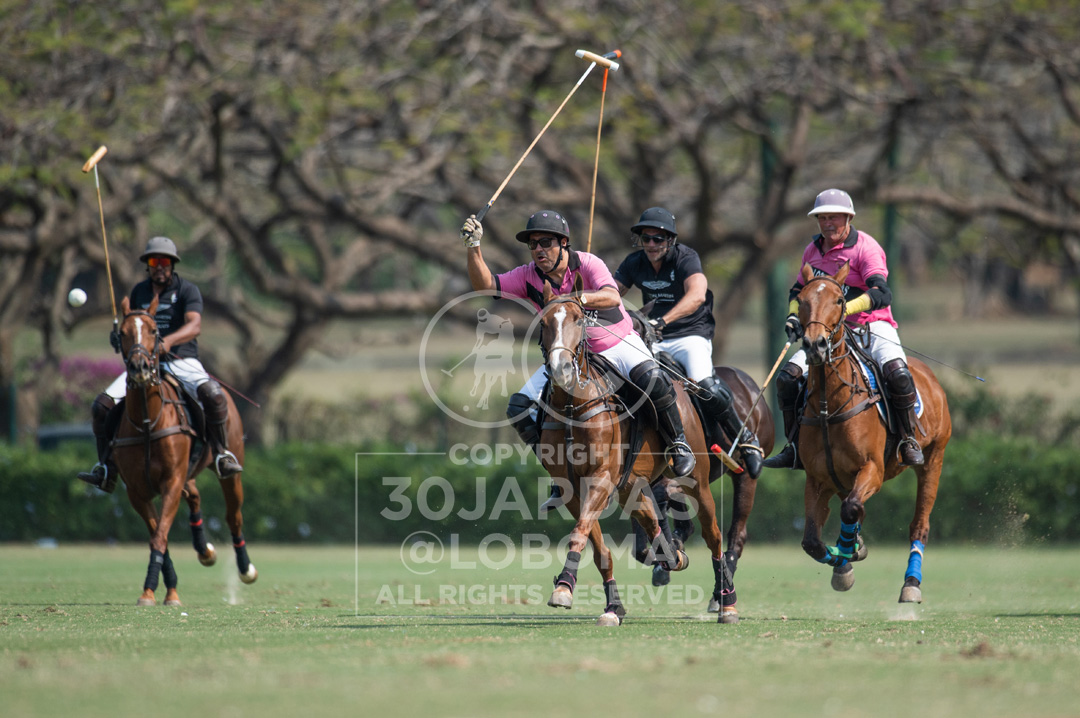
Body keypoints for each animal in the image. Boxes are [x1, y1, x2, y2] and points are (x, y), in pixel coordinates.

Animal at [114, 293, 257, 604]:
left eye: (154, 331)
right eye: (122, 332)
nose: (140, 368)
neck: (148, 422)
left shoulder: (171, 479)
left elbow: (160, 535)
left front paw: (156, 589)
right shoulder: (136, 491)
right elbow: (158, 535)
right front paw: (161, 589)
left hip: (229, 467)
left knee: (234, 516)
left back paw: (244, 568)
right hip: (185, 474)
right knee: (194, 495)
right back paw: (205, 550)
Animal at [535, 282, 773, 626]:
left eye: (579, 320)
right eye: (543, 323)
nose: (561, 370)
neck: (573, 406)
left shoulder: (602, 478)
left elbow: (581, 532)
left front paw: (564, 588)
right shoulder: (574, 487)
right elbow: (598, 545)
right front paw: (599, 600)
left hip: (710, 481)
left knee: (719, 536)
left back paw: (725, 601)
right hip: (632, 486)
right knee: (659, 523)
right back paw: (672, 559)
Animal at [794, 262, 954, 600]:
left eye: (839, 300)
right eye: (800, 300)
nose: (815, 345)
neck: (829, 406)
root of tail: (928, 375)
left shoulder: (873, 469)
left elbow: (851, 509)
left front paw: (848, 550)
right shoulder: (817, 478)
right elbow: (812, 541)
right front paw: (845, 562)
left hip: (934, 457)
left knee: (919, 524)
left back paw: (911, 584)